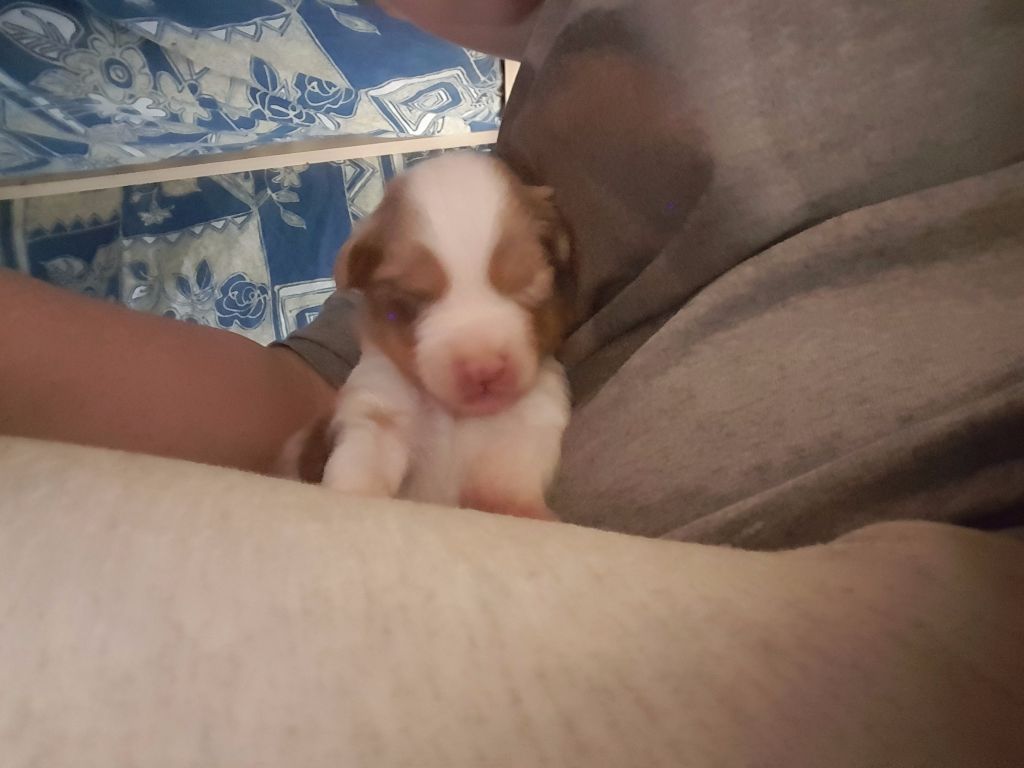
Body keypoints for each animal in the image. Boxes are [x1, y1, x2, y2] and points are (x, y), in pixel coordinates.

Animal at [280, 152, 577, 521]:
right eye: (412, 302)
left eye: (529, 287)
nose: (483, 369)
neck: (455, 418)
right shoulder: (379, 409)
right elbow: (363, 461)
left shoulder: (531, 419)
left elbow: (508, 475)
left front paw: (525, 510)